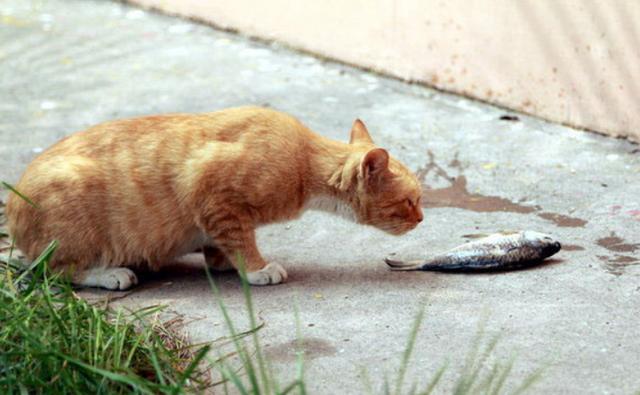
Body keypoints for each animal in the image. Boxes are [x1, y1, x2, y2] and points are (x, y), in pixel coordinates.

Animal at [7, 106, 424, 290]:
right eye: (410, 201)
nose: (422, 219)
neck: (303, 162)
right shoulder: (213, 195)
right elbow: (241, 239)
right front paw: (256, 268)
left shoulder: (215, 214)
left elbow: (222, 242)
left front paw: (223, 262)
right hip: (73, 219)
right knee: (55, 270)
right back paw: (111, 274)